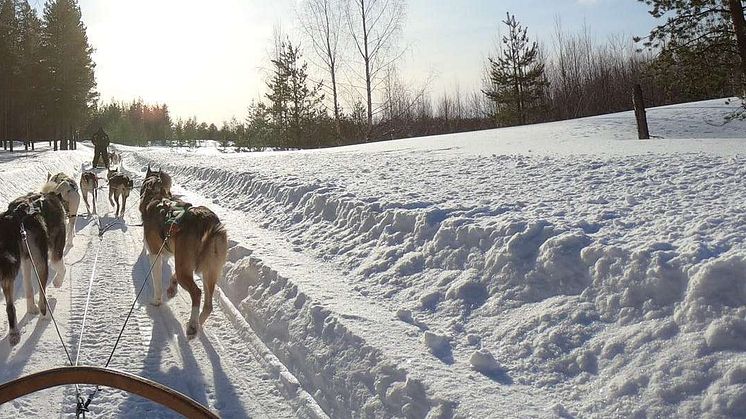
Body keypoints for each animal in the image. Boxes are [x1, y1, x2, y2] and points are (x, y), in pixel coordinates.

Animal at [0, 192, 68, 346]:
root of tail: (15, 217)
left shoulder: (26, 260)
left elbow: (28, 288)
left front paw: (31, 308)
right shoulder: (55, 253)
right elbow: (61, 267)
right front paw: (57, 282)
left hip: (9, 268)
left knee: (10, 306)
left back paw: (14, 333)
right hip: (41, 262)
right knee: (42, 299)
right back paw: (46, 315)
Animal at [140, 171, 225, 338]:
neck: (156, 197)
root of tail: (207, 221)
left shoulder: (155, 254)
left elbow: (157, 281)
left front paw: (157, 300)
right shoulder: (176, 257)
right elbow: (172, 276)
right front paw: (172, 288)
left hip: (188, 271)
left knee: (197, 293)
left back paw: (192, 325)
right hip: (208, 272)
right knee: (208, 305)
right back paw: (197, 323)